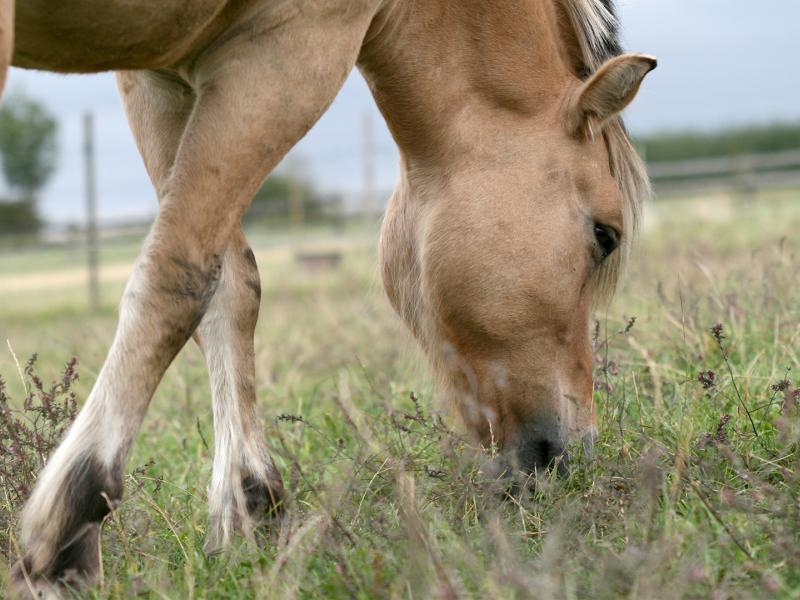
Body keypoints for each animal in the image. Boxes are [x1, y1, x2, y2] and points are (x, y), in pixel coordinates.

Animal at [3, 0, 656, 596]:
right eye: (606, 235)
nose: (574, 455)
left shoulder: (159, 77)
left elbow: (229, 284)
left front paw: (248, 511)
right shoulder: (293, 45)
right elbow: (179, 274)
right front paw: (68, 528)